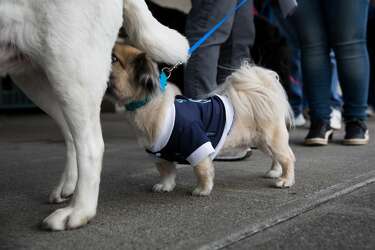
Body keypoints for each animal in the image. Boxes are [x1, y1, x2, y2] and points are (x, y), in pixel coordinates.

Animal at [0, 0, 188, 230]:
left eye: (116, 59)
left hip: (68, 65)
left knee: (90, 145)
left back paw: (78, 211)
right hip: (35, 77)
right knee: (71, 135)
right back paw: (68, 187)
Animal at [108, 42, 296, 195]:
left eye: (114, 58)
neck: (149, 102)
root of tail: (262, 90)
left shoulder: (196, 145)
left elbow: (202, 171)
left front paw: (202, 190)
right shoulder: (161, 154)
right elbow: (166, 171)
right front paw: (165, 186)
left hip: (271, 139)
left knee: (287, 158)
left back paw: (285, 180)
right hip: (262, 142)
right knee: (276, 157)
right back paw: (275, 172)